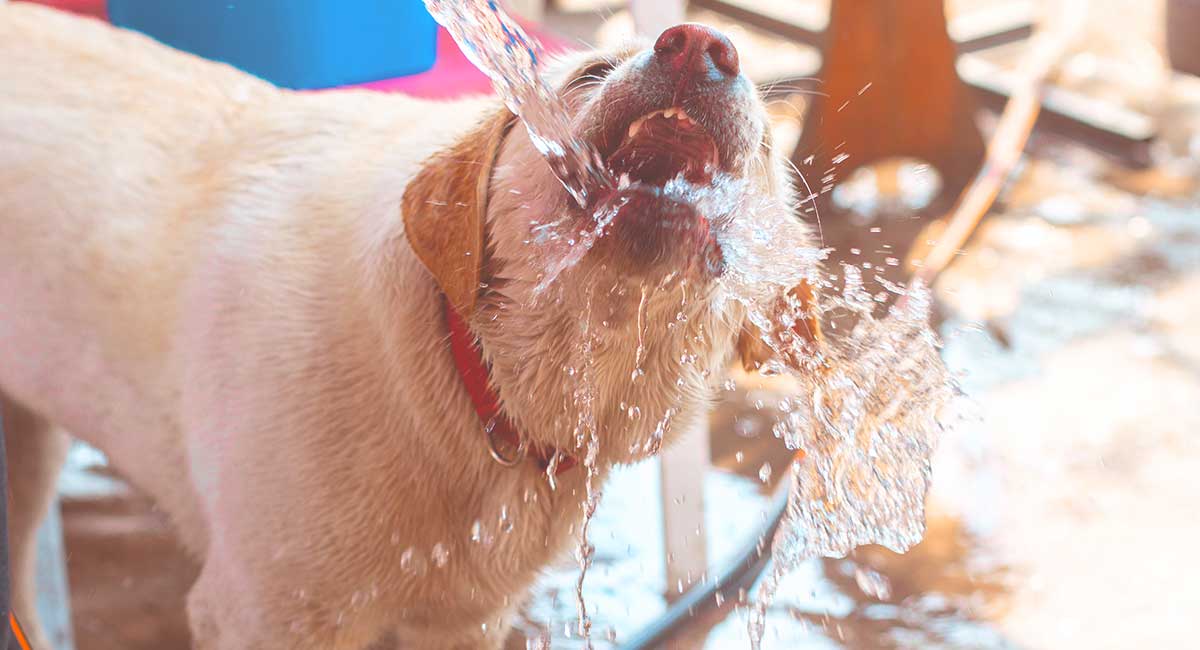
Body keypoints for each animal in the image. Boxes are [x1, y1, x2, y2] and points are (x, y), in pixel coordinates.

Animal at [0, 2, 820, 647]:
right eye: (589, 75)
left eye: (767, 148)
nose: (701, 45)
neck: (479, 390)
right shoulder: (260, 615)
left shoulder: (466, 619)